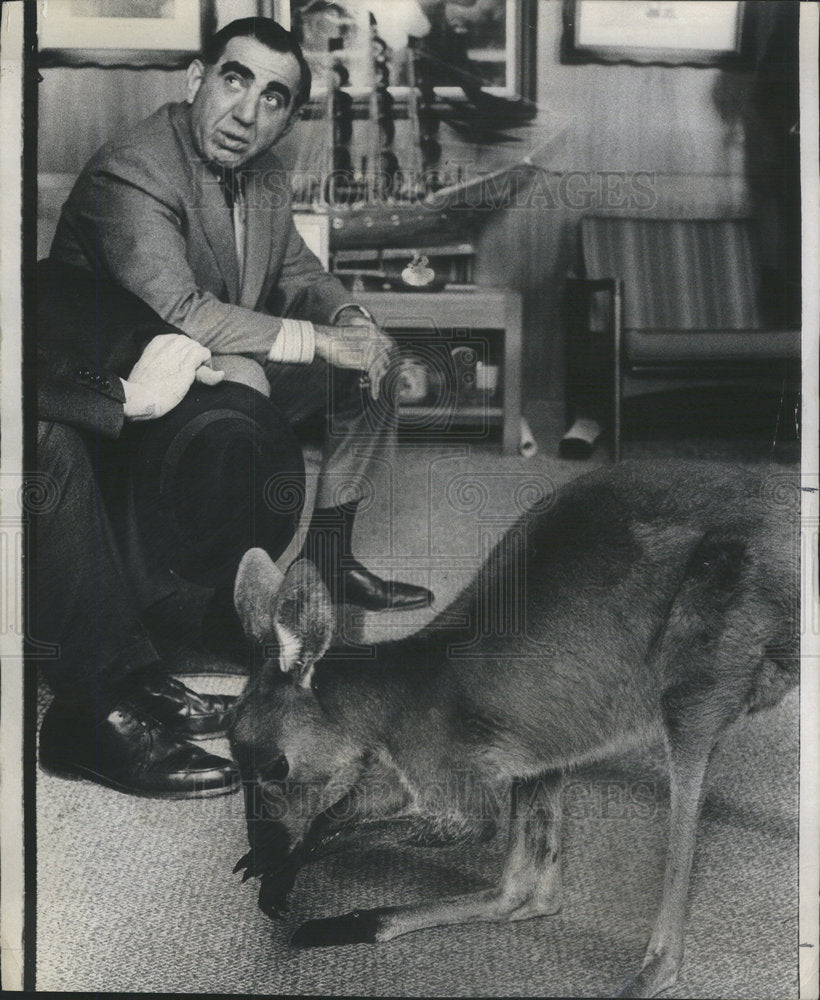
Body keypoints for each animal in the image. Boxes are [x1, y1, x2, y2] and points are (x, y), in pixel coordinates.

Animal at [227, 462, 796, 1000]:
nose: (265, 847)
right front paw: (274, 865)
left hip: (702, 663)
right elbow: (342, 812)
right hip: (551, 738)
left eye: (277, 766)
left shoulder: (443, 765)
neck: (392, 698)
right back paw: (347, 926)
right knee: (527, 893)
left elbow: (465, 824)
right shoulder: (399, 765)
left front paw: (283, 868)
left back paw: (647, 973)